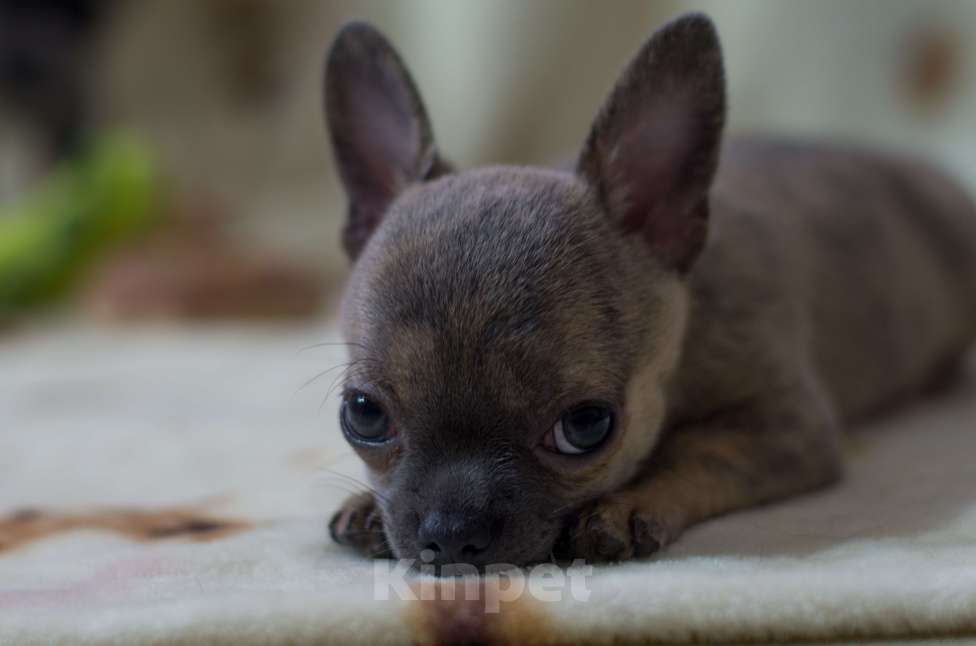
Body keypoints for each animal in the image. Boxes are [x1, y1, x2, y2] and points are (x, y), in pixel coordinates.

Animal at [322, 10, 976, 568]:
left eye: (586, 427)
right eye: (363, 414)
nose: (452, 532)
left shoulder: (785, 425)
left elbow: (696, 452)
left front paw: (627, 503)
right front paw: (366, 506)